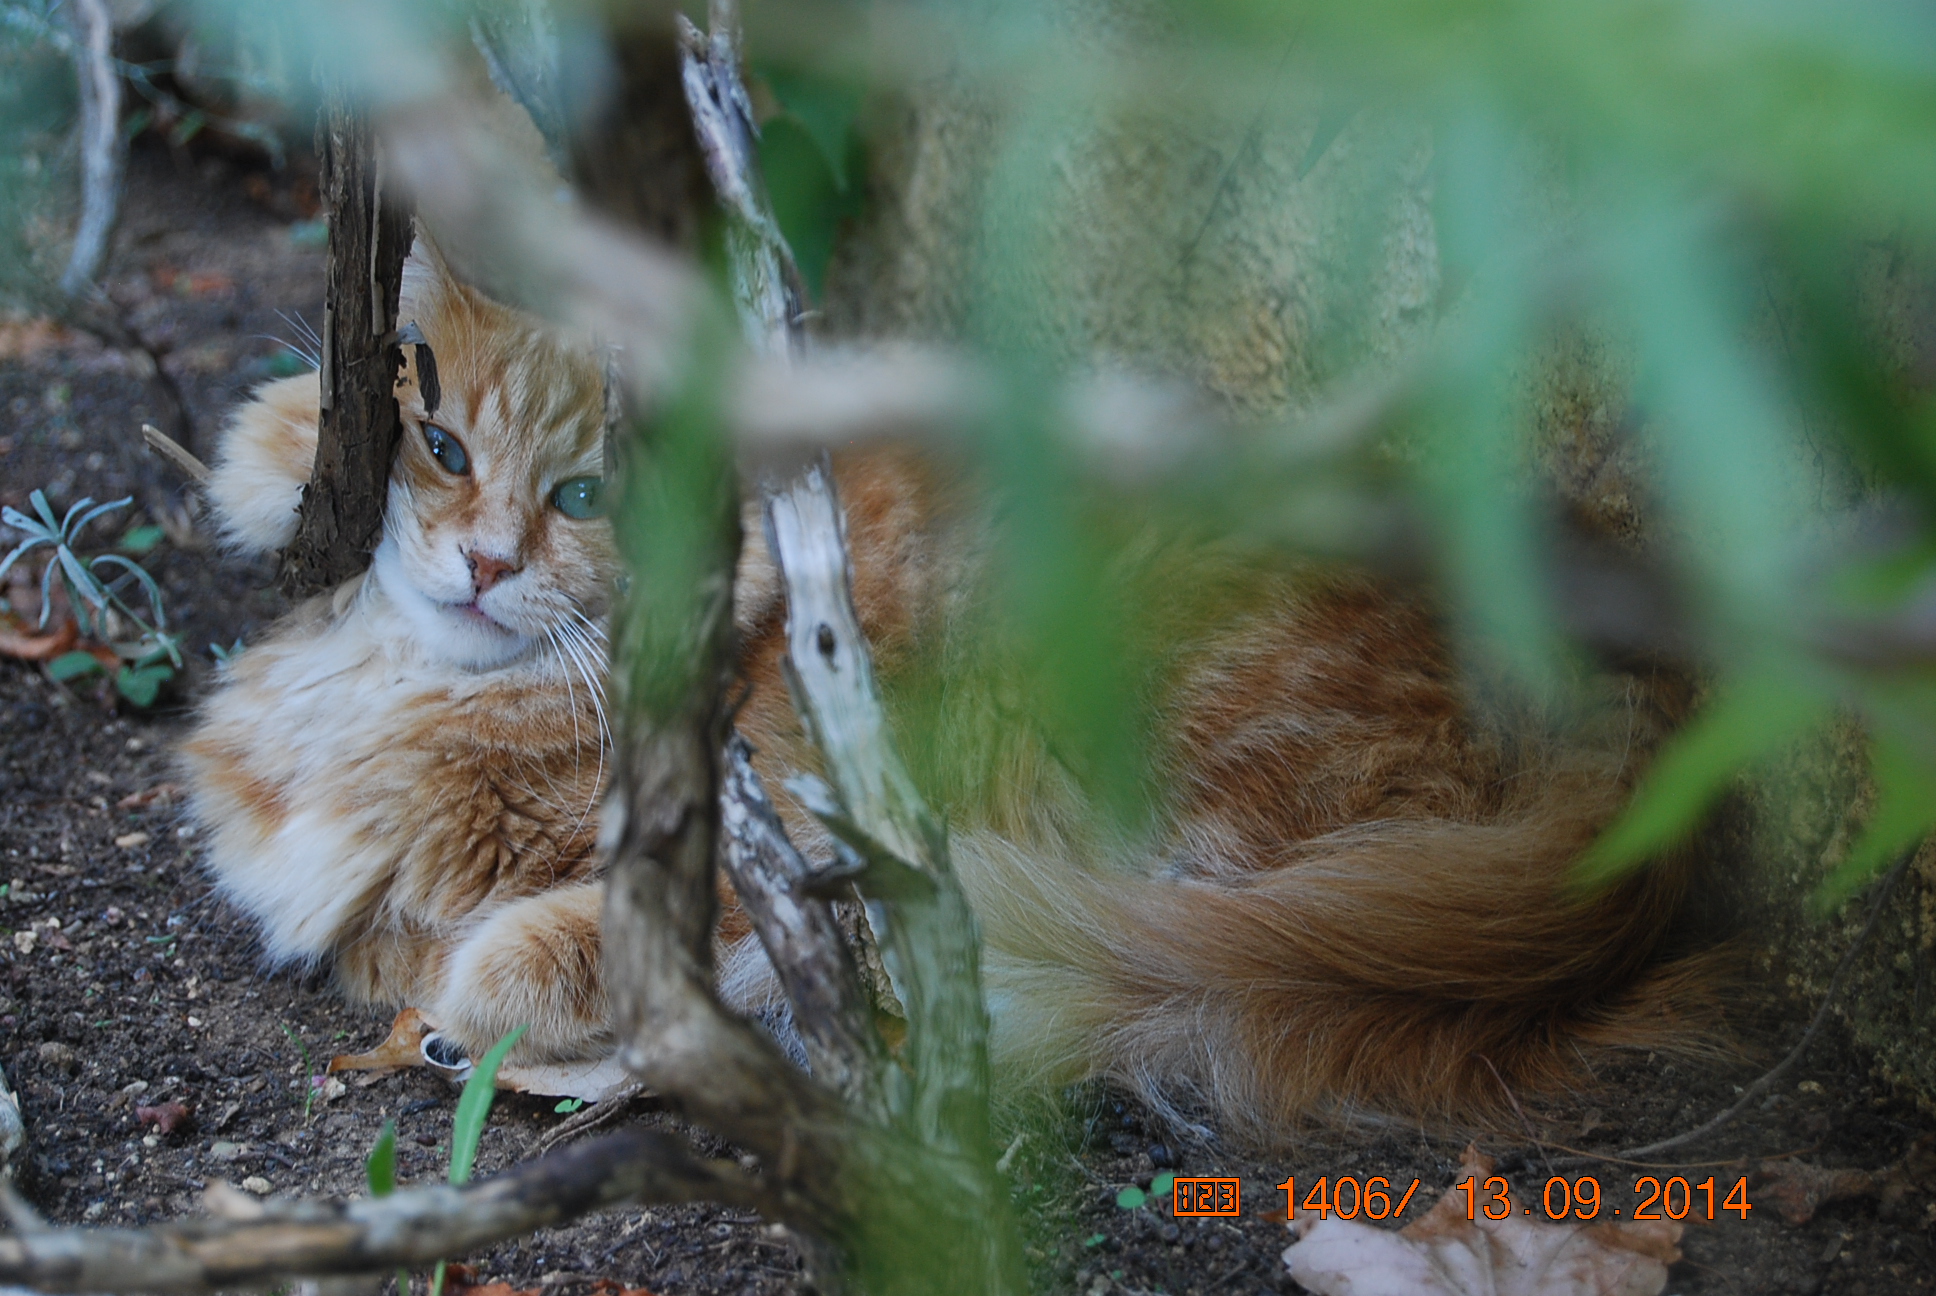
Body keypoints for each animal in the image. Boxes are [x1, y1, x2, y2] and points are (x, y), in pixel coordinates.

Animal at [184, 237, 1711, 1139]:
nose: (488, 564)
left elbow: (552, 939)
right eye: (439, 446)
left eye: (582, 498)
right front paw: (273, 457)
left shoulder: (764, 834)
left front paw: (491, 996)